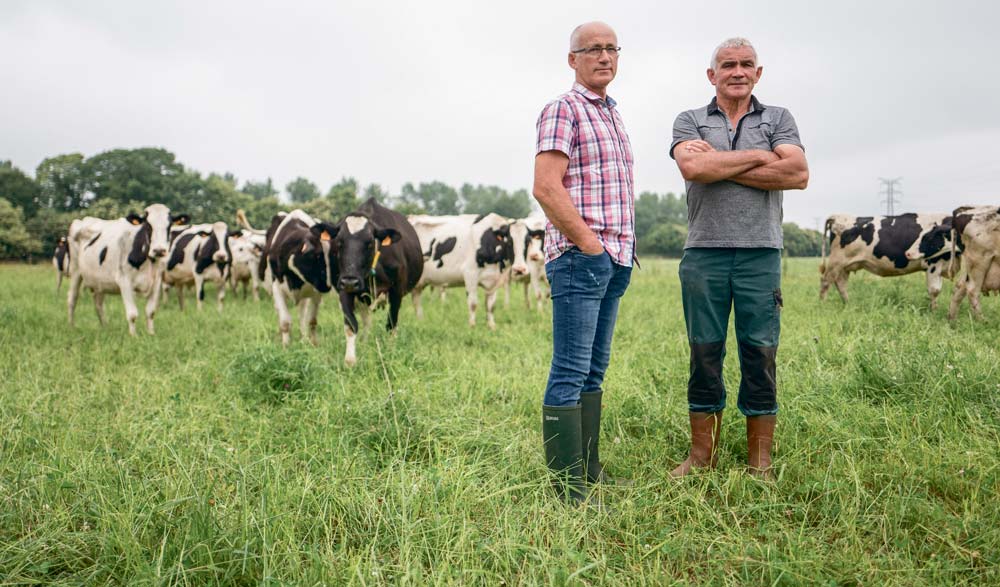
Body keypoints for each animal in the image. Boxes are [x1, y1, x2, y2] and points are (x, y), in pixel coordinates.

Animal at [66, 203, 189, 336]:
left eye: (169, 226)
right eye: (147, 225)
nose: (159, 250)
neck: (149, 262)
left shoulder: (157, 280)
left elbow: (150, 312)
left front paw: (151, 333)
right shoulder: (124, 280)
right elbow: (132, 314)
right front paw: (134, 336)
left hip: (99, 281)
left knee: (98, 303)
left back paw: (105, 326)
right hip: (75, 270)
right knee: (72, 298)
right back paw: (71, 326)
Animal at [258, 209, 340, 346]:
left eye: (334, 254)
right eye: (317, 255)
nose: (328, 284)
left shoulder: (315, 292)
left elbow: (311, 320)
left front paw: (313, 343)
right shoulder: (277, 287)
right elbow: (285, 321)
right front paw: (285, 345)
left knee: (302, 315)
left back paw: (303, 338)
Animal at [328, 200, 422, 366]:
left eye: (370, 243)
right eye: (339, 242)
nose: (351, 281)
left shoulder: (397, 291)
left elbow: (391, 325)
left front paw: (391, 353)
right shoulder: (344, 288)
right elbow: (351, 325)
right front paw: (350, 361)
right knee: (366, 321)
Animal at [820, 214, 960, 310]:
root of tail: (838, 216)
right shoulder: (933, 264)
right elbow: (934, 290)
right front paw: (934, 311)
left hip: (845, 266)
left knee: (841, 283)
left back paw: (848, 304)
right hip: (836, 261)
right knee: (826, 281)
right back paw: (823, 304)